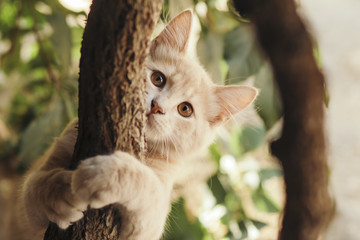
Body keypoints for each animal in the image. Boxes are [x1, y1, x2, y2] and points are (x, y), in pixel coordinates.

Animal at [2, 9, 256, 240]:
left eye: (185, 109)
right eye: (158, 79)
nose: (157, 107)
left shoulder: (150, 219)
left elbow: (146, 185)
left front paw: (106, 174)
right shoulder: (24, 204)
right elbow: (36, 186)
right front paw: (61, 191)